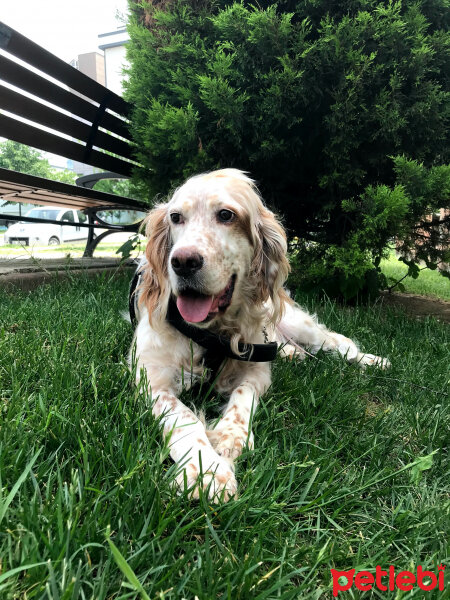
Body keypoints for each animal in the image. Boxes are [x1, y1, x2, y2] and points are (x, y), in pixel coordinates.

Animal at [128, 169, 388, 502]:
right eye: (175, 217)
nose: (183, 262)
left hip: (300, 325)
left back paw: (373, 360)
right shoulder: (151, 379)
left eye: (226, 215)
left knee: (337, 342)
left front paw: (229, 436)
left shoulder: (256, 370)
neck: (212, 333)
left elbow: (243, 395)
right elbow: (183, 418)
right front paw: (206, 471)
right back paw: (294, 355)